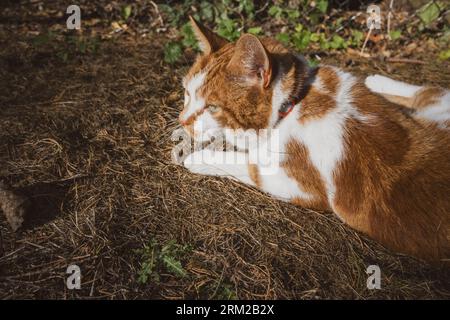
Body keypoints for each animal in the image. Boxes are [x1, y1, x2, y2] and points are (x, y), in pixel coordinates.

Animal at [178, 16, 450, 262]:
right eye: (187, 93)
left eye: (212, 107)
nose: (182, 120)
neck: (295, 102)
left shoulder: (298, 186)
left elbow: (249, 164)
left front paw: (197, 158)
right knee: (430, 92)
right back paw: (376, 81)